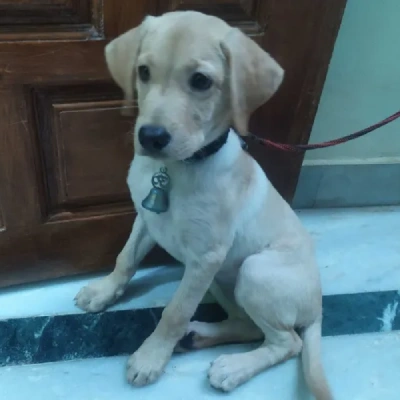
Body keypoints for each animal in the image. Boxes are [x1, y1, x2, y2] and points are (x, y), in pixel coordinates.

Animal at [75, 10, 332, 398]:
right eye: (143, 72)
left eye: (200, 81)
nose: (151, 137)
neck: (178, 169)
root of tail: (317, 307)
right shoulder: (147, 219)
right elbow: (125, 259)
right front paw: (103, 292)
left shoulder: (205, 257)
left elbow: (174, 311)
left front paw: (150, 357)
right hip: (222, 282)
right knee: (249, 326)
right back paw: (199, 337)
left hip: (252, 271)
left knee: (288, 342)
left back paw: (233, 367)